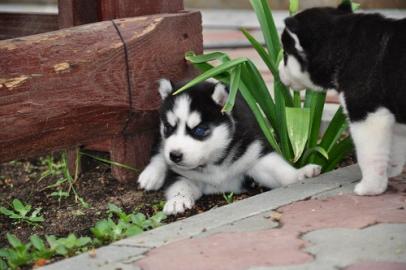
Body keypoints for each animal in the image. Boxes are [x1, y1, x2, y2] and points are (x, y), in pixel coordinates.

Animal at [138, 78, 322, 215]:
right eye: (169, 128)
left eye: (199, 130)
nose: (175, 155)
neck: (213, 164)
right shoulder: (180, 173)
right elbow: (179, 185)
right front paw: (177, 200)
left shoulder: (255, 154)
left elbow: (279, 171)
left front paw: (300, 174)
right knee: (159, 151)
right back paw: (151, 175)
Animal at [280, 2, 406, 196]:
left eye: (286, 55)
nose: (278, 70)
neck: (344, 46)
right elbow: (395, 148)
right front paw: (390, 172)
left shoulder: (367, 115)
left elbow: (370, 155)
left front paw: (371, 187)